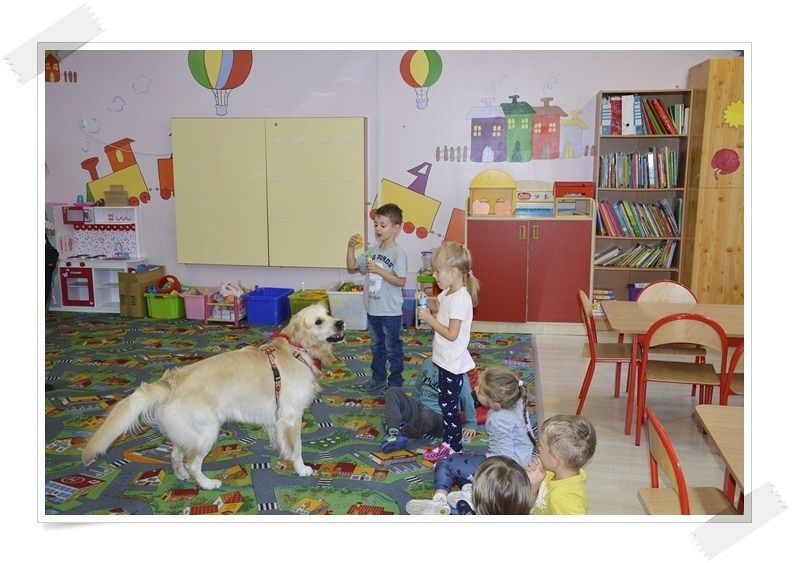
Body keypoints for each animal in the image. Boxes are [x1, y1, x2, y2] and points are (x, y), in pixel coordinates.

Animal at [82, 302, 344, 489]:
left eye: (329, 314)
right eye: (318, 321)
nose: (341, 323)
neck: (297, 350)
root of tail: (171, 382)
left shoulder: (276, 418)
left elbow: (279, 441)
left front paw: (281, 455)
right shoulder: (291, 416)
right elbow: (297, 447)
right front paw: (301, 468)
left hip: (185, 433)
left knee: (175, 455)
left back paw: (181, 476)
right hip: (207, 431)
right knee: (192, 462)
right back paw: (207, 484)